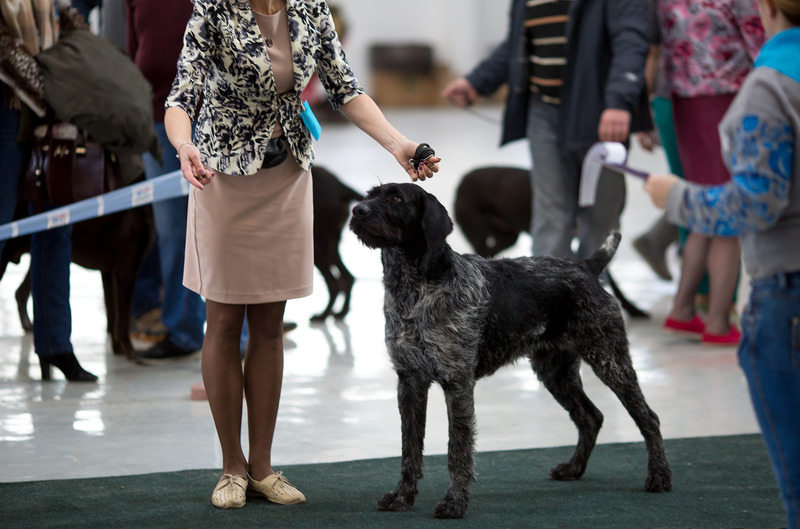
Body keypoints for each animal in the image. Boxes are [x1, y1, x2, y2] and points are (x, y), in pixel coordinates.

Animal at [348, 184, 668, 516]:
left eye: (396, 198)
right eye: (371, 195)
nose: (358, 210)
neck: (413, 289)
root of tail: (585, 266)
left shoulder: (457, 382)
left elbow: (457, 449)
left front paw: (454, 502)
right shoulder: (410, 382)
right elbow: (409, 449)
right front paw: (402, 497)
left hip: (610, 360)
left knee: (648, 419)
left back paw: (658, 476)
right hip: (555, 372)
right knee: (591, 417)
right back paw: (574, 468)